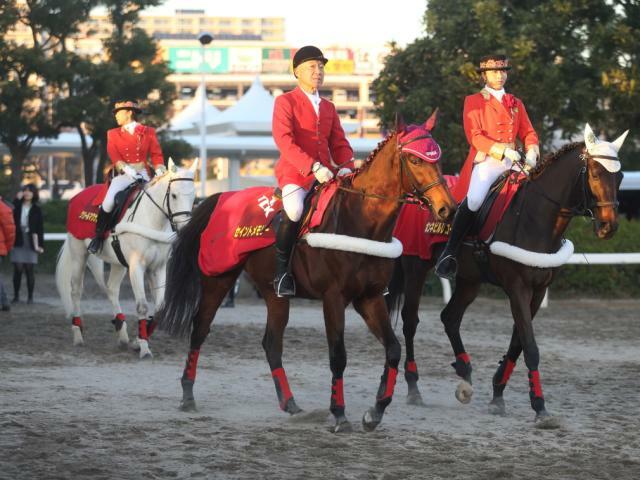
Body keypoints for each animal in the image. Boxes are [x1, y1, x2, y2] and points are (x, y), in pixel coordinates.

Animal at [56, 159, 199, 358]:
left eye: (193, 196)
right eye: (174, 195)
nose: (185, 229)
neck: (152, 218)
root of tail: (77, 196)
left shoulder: (158, 267)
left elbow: (160, 308)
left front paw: (138, 341)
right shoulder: (136, 266)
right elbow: (142, 306)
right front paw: (144, 348)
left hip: (119, 263)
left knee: (111, 289)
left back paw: (122, 334)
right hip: (79, 254)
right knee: (76, 291)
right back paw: (78, 335)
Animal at [157, 114, 458, 434]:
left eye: (437, 159)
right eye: (414, 160)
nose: (448, 209)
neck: (359, 218)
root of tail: (224, 196)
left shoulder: (370, 298)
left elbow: (393, 349)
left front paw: (375, 411)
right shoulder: (333, 298)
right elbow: (338, 356)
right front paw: (339, 414)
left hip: (274, 294)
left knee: (271, 343)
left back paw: (289, 403)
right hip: (219, 279)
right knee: (200, 329)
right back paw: (187, 394)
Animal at [384, 124, 624, 424]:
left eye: (620, 176)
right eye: (594, 174)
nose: (608, 227)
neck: (536, 217)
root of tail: (412, 195)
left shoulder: (538, 291)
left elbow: (517, 343)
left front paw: (498, 392)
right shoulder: (517, 288)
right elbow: (530, 346)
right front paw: (539, 406)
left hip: (469, 280)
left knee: (450, 317)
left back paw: (464, 372)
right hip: (415, 266)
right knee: (410, 322)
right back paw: (414, 387)